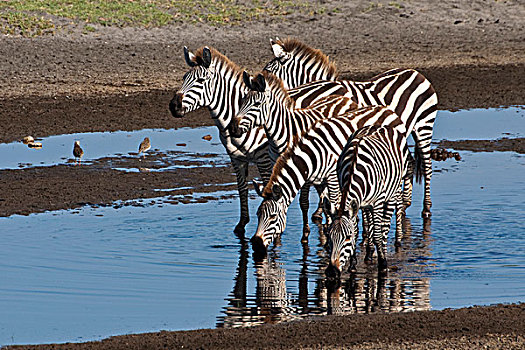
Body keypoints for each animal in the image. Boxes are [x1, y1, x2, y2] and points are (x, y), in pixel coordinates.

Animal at [169, 45, 274, 234]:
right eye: (183, 78)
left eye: (201, 80)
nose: (173, 106)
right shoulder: (236, 158)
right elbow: (242, 189)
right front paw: (241, 225)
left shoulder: (264, 159)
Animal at [249, 105, 406, 253]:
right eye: (257, 214)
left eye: (273, 217)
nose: (256, 244)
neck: (313, 156)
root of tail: (388, 109)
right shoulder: (314, 180)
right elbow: (314, 205)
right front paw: (317, 236)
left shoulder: (332, 178)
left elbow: (333, 204)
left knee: (398, 202)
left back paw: (398, 238)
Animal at [264, 38, 436, 219]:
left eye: (268, 72)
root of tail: (415, 72)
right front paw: (322, 210)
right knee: (409, 162)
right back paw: (405, 202)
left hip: (424, 125)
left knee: (427, 166)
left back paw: (426, 208)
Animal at [324, 125, 414, 276]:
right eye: (329, 236)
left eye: (347, 237)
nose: (332, 272)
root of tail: (381, 126)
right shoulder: (356, 203)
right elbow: (357, 229)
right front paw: (353, 265)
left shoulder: (377, 202)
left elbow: (377, 234)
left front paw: (383, 264)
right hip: (366, 204)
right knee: (371, 223)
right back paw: (369, 253)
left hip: (393, 191)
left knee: (385, 225)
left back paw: (389, 246)